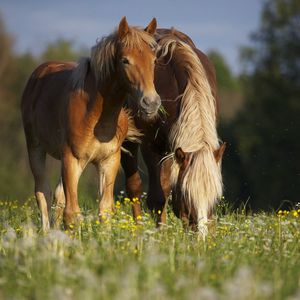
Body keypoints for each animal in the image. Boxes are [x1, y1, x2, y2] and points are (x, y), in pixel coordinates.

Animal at [21, 17, 161, 231]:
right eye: (125, 60)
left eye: (154, 60)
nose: (151, 102)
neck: (97, 115)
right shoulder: (71, 158)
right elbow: (72, 213)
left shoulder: (109, 161)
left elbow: (104, 210)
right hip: (36, 147)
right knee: (42, 192)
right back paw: (46, 232)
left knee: (57, 196)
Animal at [121, 28, 225, 234]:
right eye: (186, 195)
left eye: (215, 197)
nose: (201, 236)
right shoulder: (152, 146)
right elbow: (157, 198)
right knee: (134, 188)